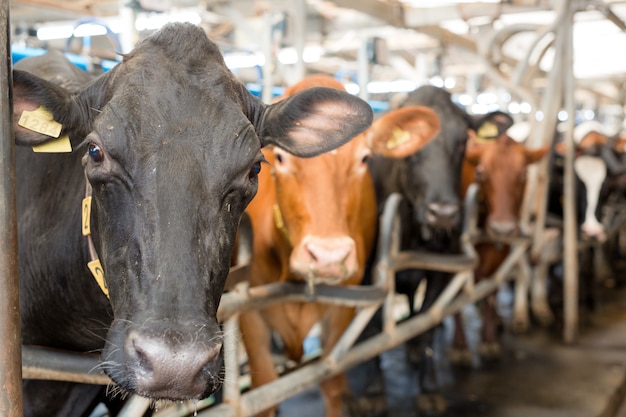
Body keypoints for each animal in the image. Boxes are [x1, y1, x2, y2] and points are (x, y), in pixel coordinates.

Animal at [239, 75, 438, 416]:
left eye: (364, 159)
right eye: (280, 158)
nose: (328, 257)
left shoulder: (343, 306)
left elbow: (332, 382)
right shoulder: (248, 316)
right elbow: (264, 391)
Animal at [448, 124, 544, 360]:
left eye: (523, 173)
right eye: (481, 172)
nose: (503, 228)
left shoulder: (499, 255)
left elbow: (491, 293)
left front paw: (489, 339)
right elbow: (456, 300)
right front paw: (460, 346)